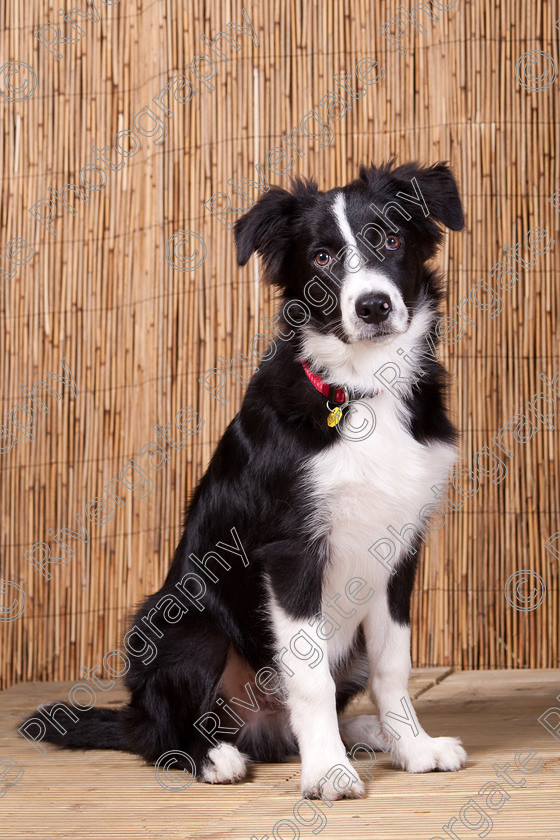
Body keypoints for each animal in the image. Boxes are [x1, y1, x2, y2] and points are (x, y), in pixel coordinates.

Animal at [21, 159, 466, 800]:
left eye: (388, 239)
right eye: (322, 257)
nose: (374, 307)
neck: (362, 390)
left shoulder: (399, 547)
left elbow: (393, 665)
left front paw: (413, 747)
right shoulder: (290, 550)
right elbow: (308, 675)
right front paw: (328, 773)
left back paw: (362, 731)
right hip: (184, 623)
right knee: (156, 731)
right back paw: (210, 756)